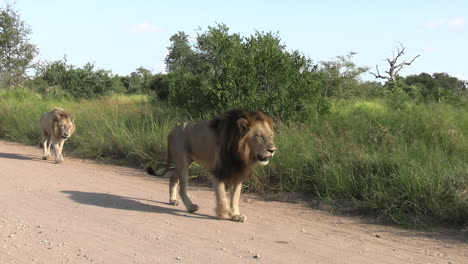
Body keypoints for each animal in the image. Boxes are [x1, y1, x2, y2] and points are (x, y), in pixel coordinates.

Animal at [148, 108, 276, 222]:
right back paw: (191, 207)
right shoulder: (217, 171)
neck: (241, 151)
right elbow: (221, 194)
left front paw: (235, 215)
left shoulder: (237, 172)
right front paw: (223, 211)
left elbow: (235, 196)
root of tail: (172, 130)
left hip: (185, 162)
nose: (272, 150)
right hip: (182, 162)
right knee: (182, 188)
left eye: (270, 136)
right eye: (259, 136)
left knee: (173, 178)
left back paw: (172, 200)